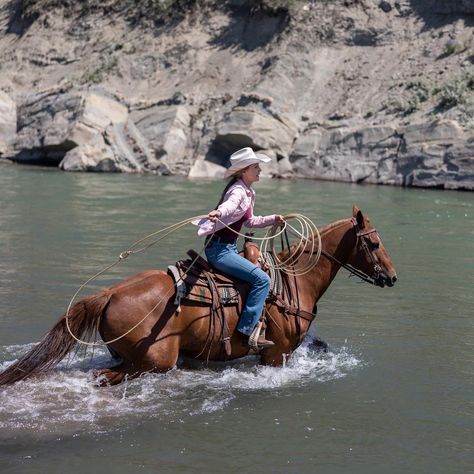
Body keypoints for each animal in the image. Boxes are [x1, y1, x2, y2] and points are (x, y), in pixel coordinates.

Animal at [0, 206, 396, 386]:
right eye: (374, 243)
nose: (392, 277)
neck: (294, 281)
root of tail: (110, 293)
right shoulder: (276, 355)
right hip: (151, 362)